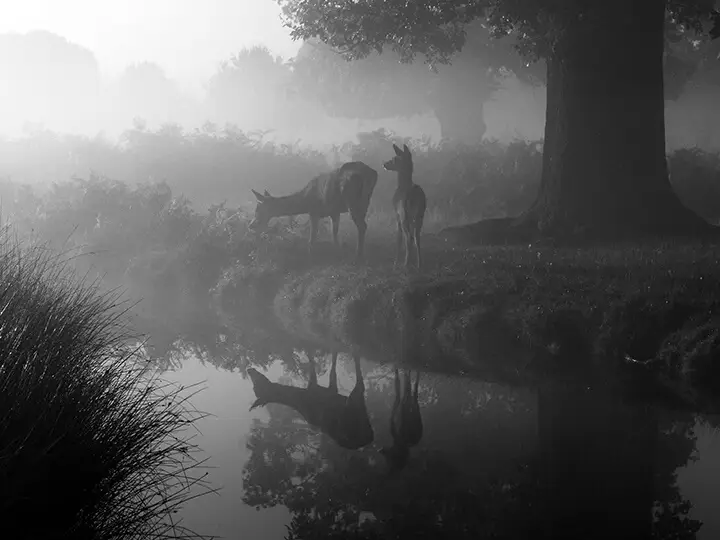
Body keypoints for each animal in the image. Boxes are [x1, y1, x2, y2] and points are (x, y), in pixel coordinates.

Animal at [246, 352, 374, 450]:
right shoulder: (329, 391)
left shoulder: (325, 390)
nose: (250, 369)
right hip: (354, 402)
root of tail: (370, 437)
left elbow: (322, 366)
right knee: (360, 383)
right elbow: (329, 369)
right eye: (256, 387)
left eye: (258, 384)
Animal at [249, 160, 380, 262]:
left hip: (352, 200)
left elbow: (313, 235)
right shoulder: (334, 211)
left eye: (258, 208)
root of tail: (372, 173)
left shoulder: (314, 211)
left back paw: (358, 255)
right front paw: (337, 250)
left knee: (362, 226)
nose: (251, 225)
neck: (305, 201)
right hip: (365, 201)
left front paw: (310, 254)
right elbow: (334, 232)